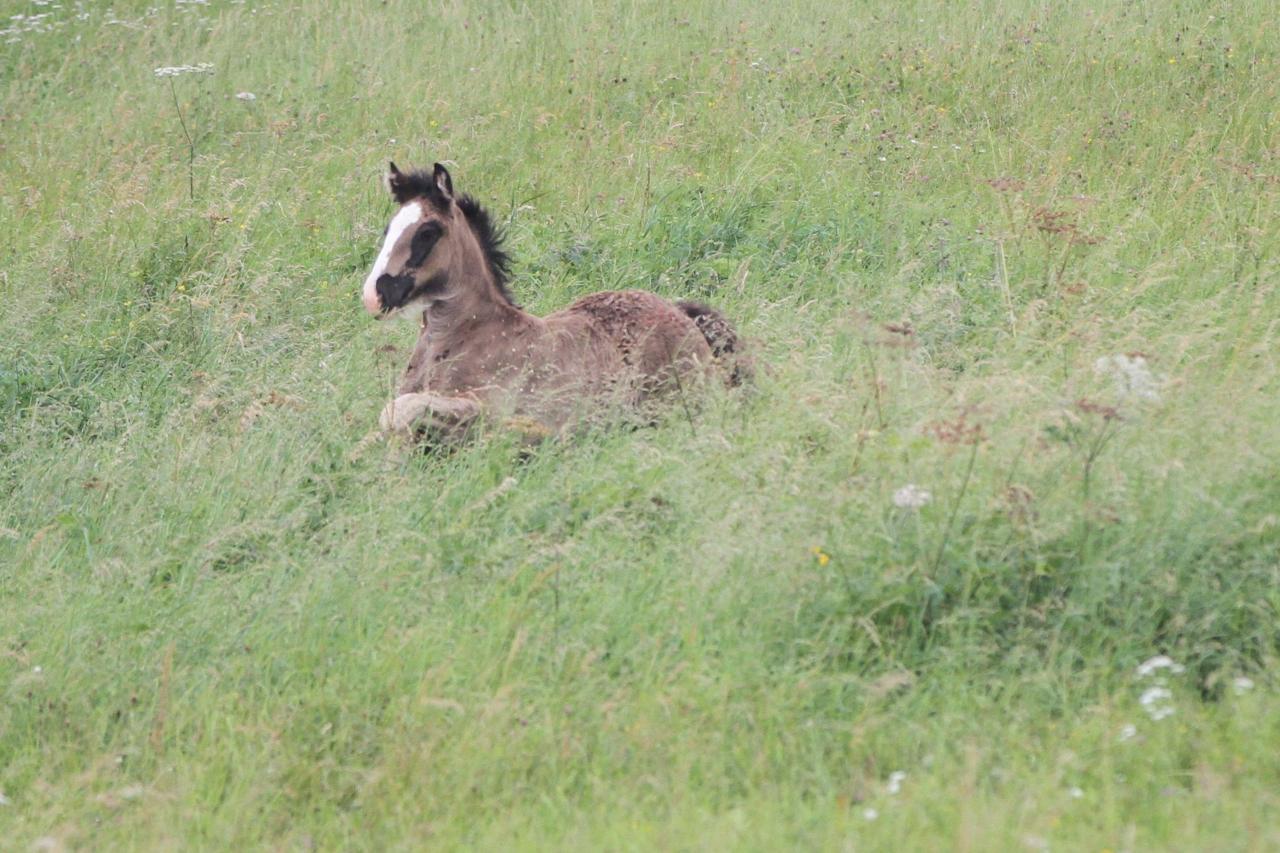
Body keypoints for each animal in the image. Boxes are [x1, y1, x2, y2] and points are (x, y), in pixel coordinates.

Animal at [363, 161, 742, 438]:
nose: (374, 295)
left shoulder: (486, 405)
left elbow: (399, 410)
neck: (461, 337)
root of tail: (681, 314)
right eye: (388, 229)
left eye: (427, 233)